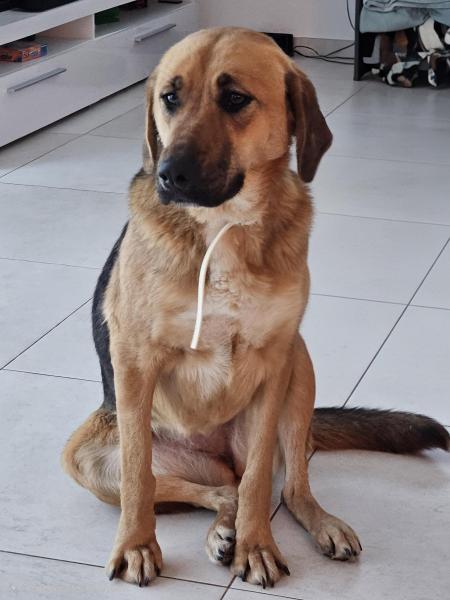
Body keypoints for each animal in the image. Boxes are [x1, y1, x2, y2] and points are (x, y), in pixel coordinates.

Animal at [62, 27, 449, 588]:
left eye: (235, 99)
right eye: (170, 98)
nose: (167, 175)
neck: (226, 225)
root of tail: (216, 454)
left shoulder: (274, 360)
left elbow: (262, 479)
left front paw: (257, 545)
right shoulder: (135, 362)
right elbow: (137, 477)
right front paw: (136, 544)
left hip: (300, 366)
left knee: (278, 484)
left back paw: (306, 523)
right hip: (86, 456)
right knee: (207, 487)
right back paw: (219, 528)